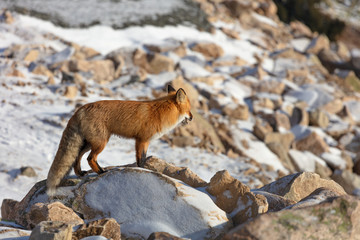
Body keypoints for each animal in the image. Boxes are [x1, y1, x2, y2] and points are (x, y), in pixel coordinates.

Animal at [46, 86, 193, 195]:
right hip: (101, 142)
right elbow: (141, 160)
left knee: (78, 156)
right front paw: (143, 172)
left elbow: (142, 159)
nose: (192, 118)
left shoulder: (144, 141)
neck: (161, 112)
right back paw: (102, 172)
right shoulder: (142, 140)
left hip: (89, 142)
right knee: (90, 158)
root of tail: (80, 109)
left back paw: (81, 173)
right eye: (189, 110)